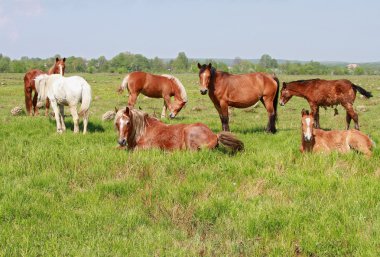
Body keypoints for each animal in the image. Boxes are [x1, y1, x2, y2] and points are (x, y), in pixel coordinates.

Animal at [114, 106, 243, 152]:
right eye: (116, 123)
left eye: (128, 122)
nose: (121, 141)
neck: (143, 131)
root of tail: (214, 135)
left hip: (188, 135)